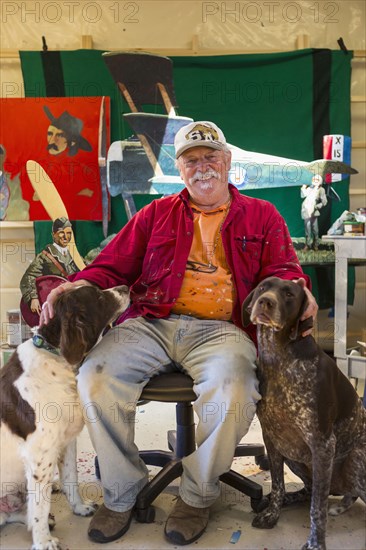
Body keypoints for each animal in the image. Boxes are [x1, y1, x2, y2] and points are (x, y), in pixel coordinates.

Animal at [0, 284, 130, 550]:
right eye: (98, 296)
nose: (124, 287)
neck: (56, 356)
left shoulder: (66, 441)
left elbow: (71, 477)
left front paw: (79, 508)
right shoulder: (40, 456)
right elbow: (40, 505)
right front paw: (43, 542)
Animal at [242, 278, 364, 550]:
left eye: (289, 294)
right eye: (263, 286)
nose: (265, 301)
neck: (279, 357)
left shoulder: (323, 444)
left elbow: (317, 508)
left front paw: (316, 543)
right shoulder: (272, 439)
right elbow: (278, 483)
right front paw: (272, 512)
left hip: (355, 460)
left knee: (341, 493)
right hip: (295, 456)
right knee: (310, 491)